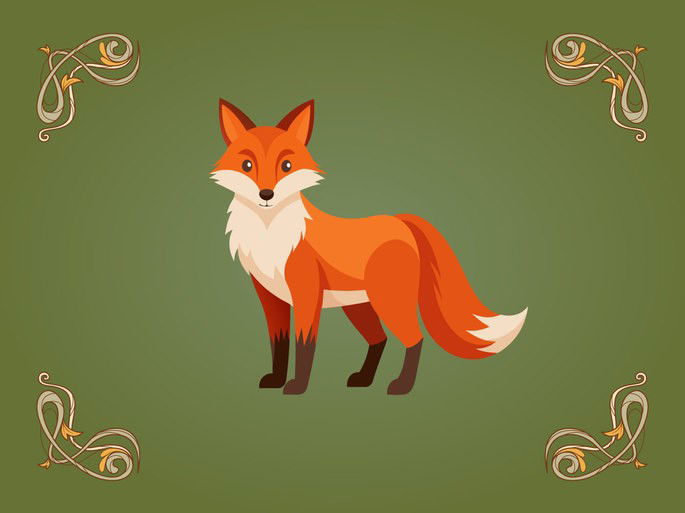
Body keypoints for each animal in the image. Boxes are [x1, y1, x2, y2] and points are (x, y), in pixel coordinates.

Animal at [211, 99, 527, 395]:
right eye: (247, 166)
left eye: (286, 166)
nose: (266, 194)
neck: (269, 236)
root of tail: (400, 221)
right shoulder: (268, 296)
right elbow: (280, 343)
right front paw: (276, 380)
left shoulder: (306, 295)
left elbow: (304, 345)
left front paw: (297, 386)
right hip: (359, 307)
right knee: (380, 339)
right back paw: (364, 379)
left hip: (389, 302)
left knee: (414, 338)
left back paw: (402, 386)